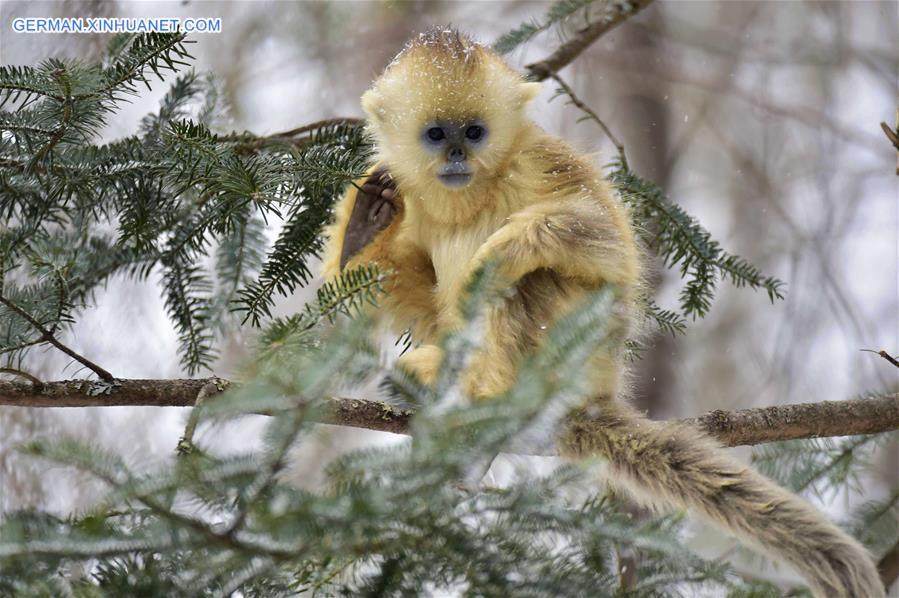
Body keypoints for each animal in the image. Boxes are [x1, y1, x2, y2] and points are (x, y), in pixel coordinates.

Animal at [320, 28, 884, 598]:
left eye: (474, 132)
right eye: (437, 134)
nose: (457, 155)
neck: (472, 195)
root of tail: (596, 394)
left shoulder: (541, 161)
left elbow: (612, 250)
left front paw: (506, 249)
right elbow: (408, 290)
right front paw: (362, 231)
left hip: (576, 351)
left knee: (525, 282)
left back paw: (490, 392)